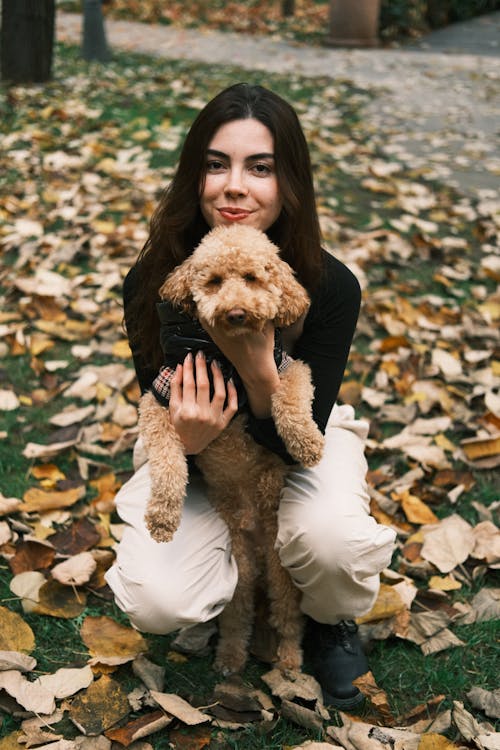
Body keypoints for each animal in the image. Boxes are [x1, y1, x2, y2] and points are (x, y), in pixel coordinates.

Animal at [138, 223, 324, 676]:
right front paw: (162, 516)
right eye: (215, 281)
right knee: (237, 616)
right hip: (240, 569)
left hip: (280, 566)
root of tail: (255, 534)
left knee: (288, 616)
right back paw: (230, 658)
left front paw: (307, 444)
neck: (226, 359)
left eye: (254, 278)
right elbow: (167, 460)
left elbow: (290, 401)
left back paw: (289, 660)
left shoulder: (288, 367)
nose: (237, 313)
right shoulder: (160, 398)